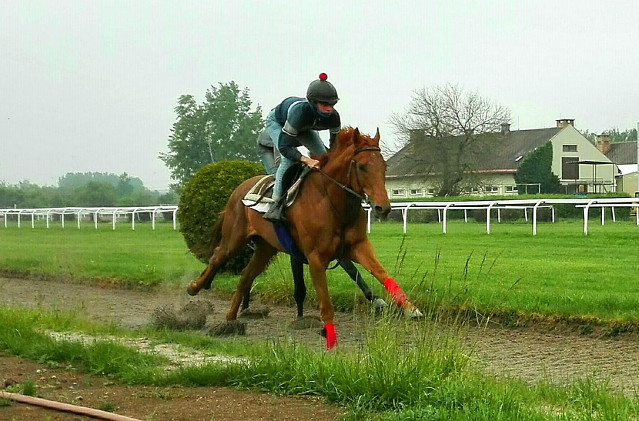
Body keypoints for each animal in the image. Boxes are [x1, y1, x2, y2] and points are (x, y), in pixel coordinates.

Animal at [188, 127, 422, 348]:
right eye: (362, 166)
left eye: (384, 167)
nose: (383, 208)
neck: (331, 201)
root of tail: (240, 187)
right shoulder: (315, 257)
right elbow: (326, 303)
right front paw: (328, 335)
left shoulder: (357, 246)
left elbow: (382, 273)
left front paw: (410, 308)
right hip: (235, 237)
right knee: (218, 256)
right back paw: (195, 287)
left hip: (266, 248)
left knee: (246, 275)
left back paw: (229, 320)